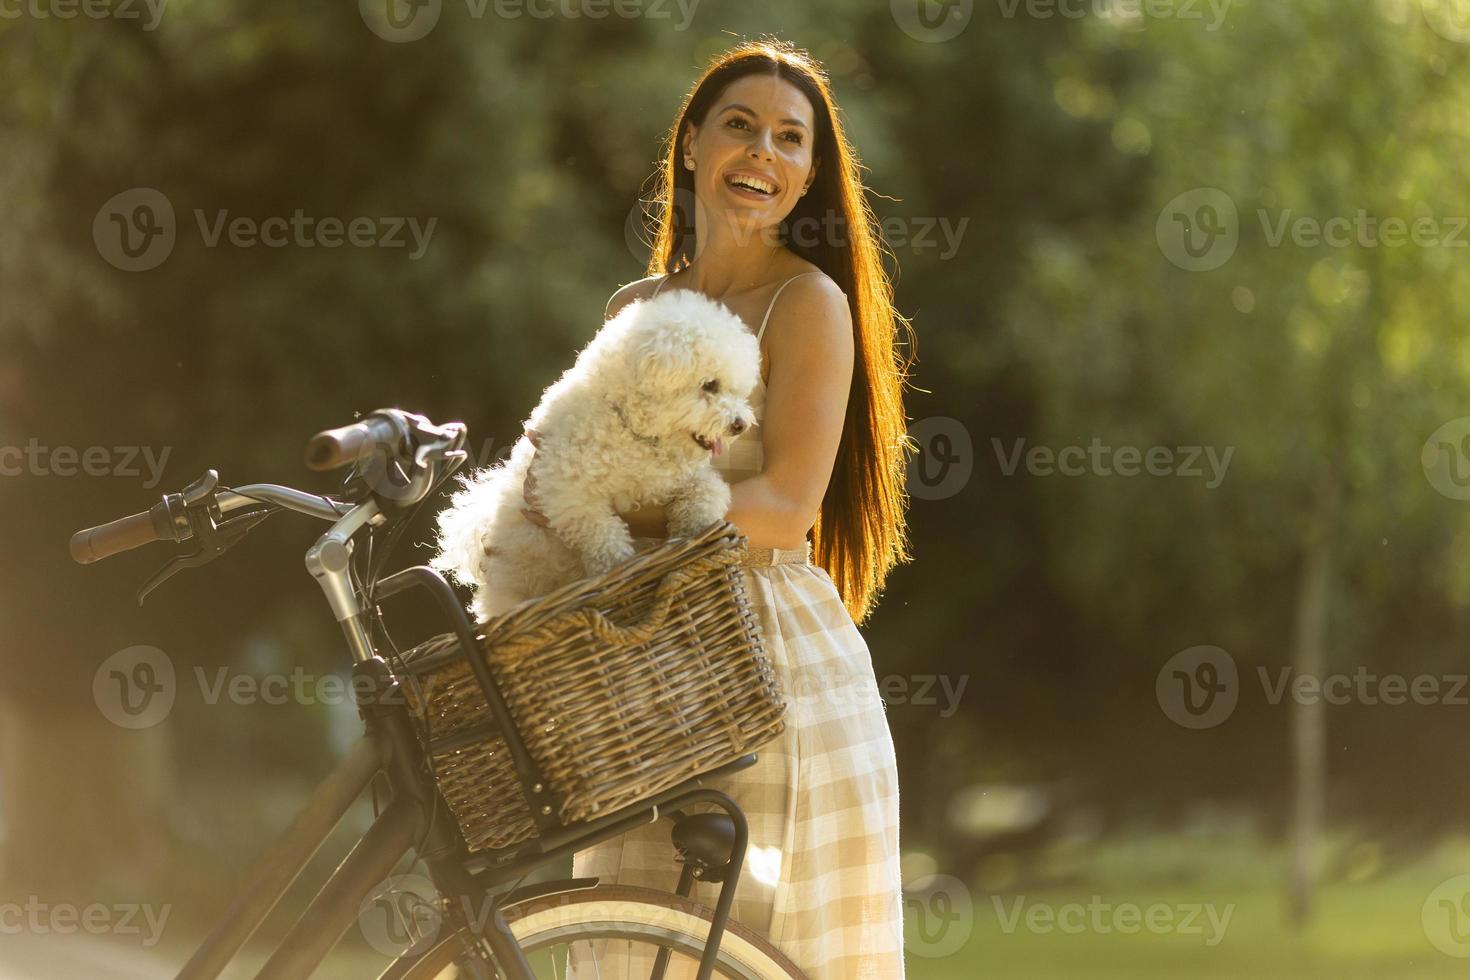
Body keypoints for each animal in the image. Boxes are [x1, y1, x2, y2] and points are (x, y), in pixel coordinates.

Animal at [429, 287, 764, 620]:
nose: (740, 424)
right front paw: (618, 572)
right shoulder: (567, 495)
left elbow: (707, 491)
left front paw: (695, 529)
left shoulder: (681, 477)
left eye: (736, 390)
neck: (631, 429)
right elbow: (602, 535)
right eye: (710, 385)